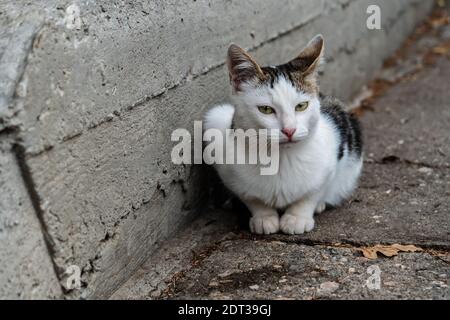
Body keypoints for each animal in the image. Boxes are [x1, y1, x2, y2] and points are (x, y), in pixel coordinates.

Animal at [204, 35, 362, 235]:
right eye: (265, 109)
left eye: (301, 106)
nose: (289, 130)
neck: (281, 158)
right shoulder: (227, 168)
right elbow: (251, 198)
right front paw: (264, 217)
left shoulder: (334, 153)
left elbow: (313, 192)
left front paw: (297, 217)